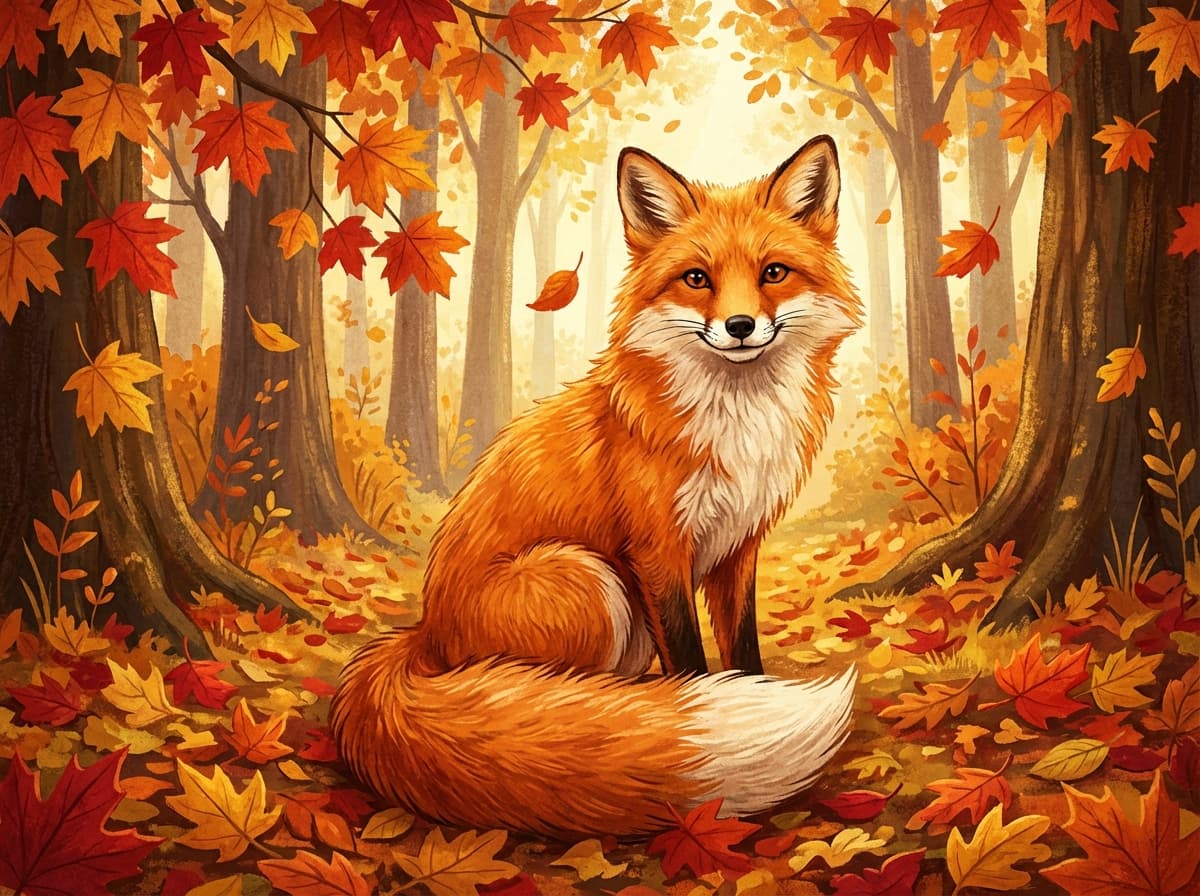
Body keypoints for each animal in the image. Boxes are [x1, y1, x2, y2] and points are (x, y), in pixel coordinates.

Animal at [331, 135, 863, 839]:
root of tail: (425, 635)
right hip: (588, 577)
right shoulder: (657, 550)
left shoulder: (738, 548)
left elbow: (743, 650)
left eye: (773, 272)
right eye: (697, 279)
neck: (736, 422)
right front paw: (693, 713)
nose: (741, 326)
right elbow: (690, 663)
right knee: (553, 699)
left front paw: (750, 695)